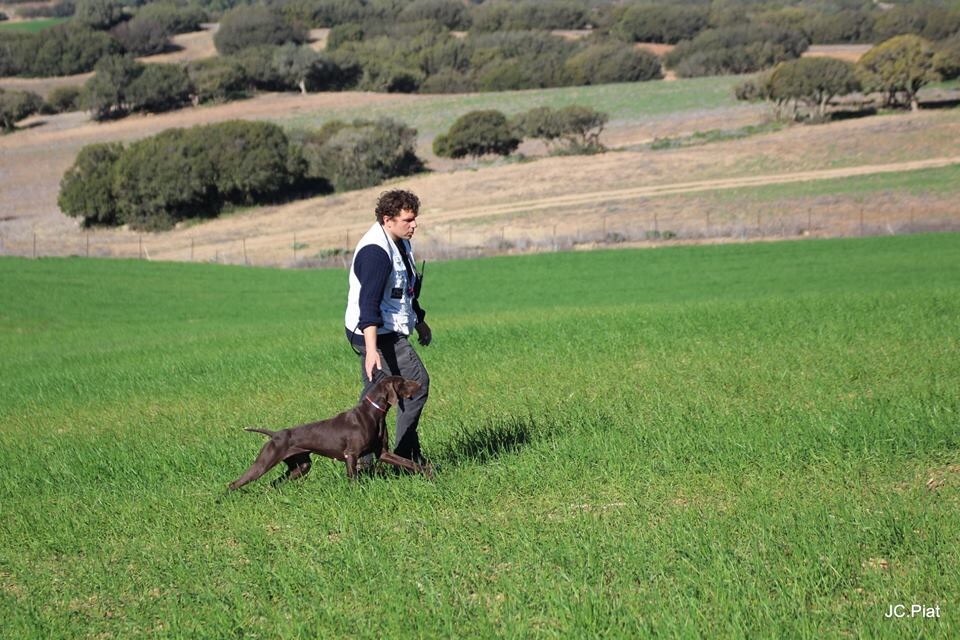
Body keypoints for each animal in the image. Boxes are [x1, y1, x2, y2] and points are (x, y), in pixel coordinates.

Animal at [228, 376, 428, 490]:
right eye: (403, 382)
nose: (420, 384)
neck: (373, 413)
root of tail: (275, 434)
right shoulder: (351, 455)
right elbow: (353, 480)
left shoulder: (383, 453)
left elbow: (409, 463)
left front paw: (428, 473)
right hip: (264, 463)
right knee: (234, 483)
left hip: (301, 466)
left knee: (274, 483)